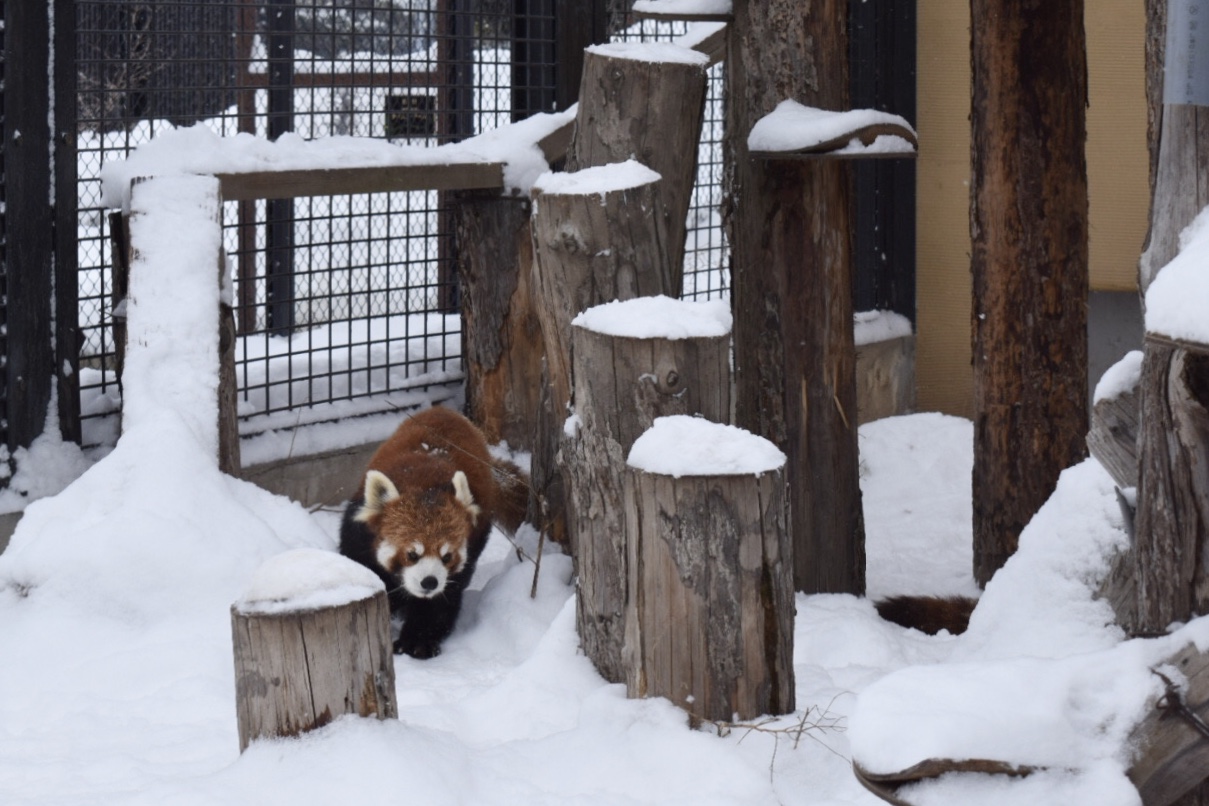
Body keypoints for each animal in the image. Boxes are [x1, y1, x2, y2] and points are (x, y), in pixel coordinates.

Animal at [343, 406, 527, 657]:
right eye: (412, 554)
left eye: (446, 556)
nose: (429, 582)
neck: (425, 484)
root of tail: (447, 410)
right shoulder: (358, 537)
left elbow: (440, 601)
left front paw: (418, 641)